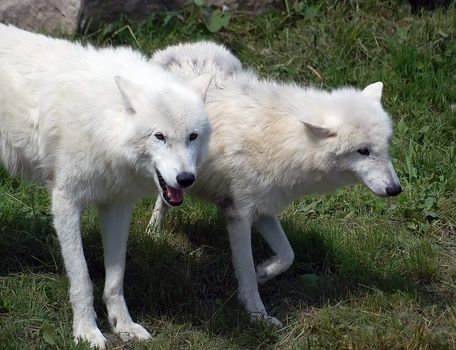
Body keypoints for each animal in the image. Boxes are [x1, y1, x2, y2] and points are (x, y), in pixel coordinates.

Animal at [0, 25, 213, 348]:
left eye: (193, 136)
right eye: (159, 136)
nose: (186, 179)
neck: (104, 125)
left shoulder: (118, 206)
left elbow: (115, 280)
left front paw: (123, 326)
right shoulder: (65, 203)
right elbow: (82, 280)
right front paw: (87, 332)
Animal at [148, 41, 400, 328]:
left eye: (384, 147)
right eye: (363, 151)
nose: (396, 189)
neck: (283, 139)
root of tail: (178, 47)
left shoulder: (265, 210)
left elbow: (288, 255)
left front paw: (264, 273)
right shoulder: (239, 214)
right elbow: (246, 270)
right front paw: (258, 315)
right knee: (163, 197)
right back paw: (153, 231)